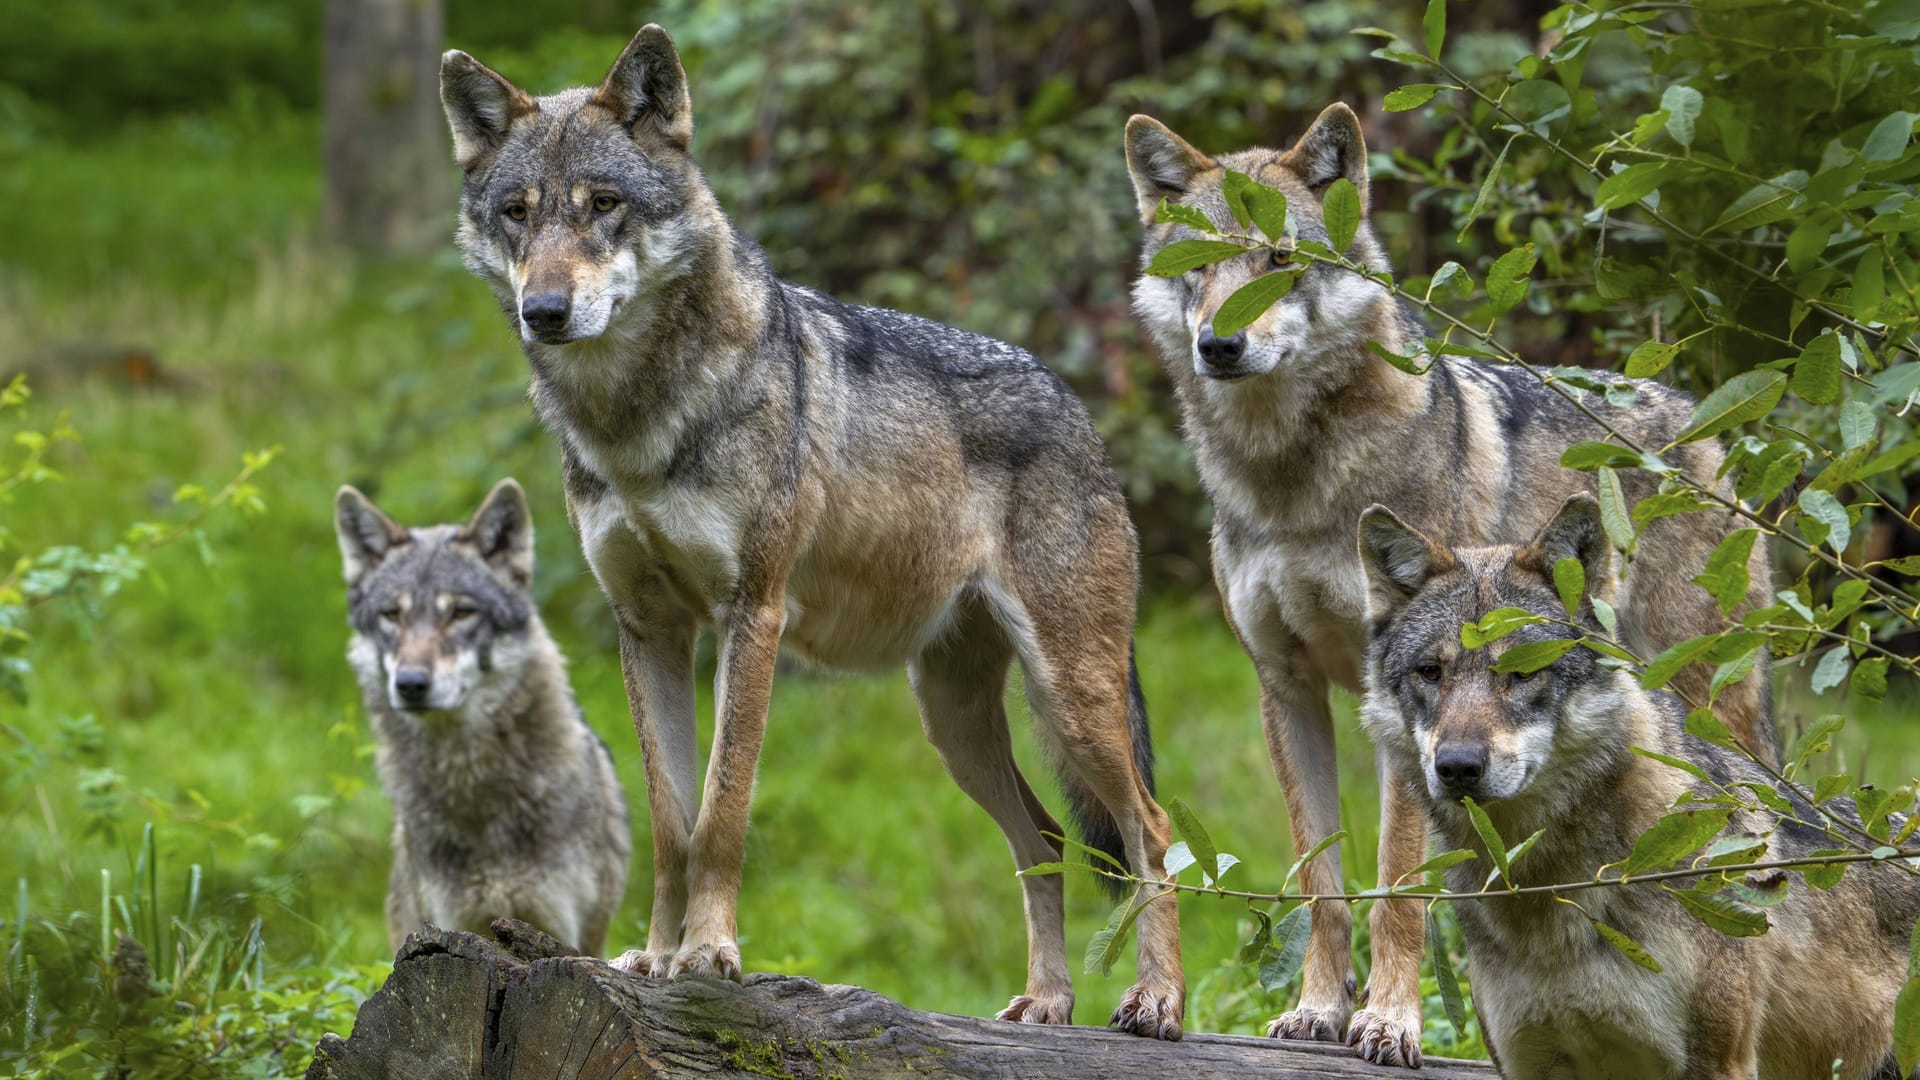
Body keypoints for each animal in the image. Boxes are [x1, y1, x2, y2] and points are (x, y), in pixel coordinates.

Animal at [437, 23, 1182, 1037]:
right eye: (517, 213)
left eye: (604, 206)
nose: (543, 312)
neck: (636, 420)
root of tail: (1075, 405)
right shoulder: (649, 630)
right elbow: (670, 824)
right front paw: (655, 957)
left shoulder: (751, 617)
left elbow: (721, 814)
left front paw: (709, 956)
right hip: (954, 721)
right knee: (1046, 838)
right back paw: (1047, 1003)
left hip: (1072, 698)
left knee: (1153, 832)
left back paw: (1157, 1001)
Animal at [1121, 102, 1774, 1060]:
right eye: (1197, 268)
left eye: (1280, 260)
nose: (1220, 343)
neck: (1289, 481)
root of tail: (1700, 418)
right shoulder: (1288, 686)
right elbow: (1322, 882)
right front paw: (1319, 1011)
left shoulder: (1397, 716)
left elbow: (1398, 885)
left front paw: (1389, 1022)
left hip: (1708, 698)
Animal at [1359, 495, 1912, 1076]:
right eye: (1430, 672)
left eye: (1522, 673)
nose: (1458, 766)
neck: (1549, 895)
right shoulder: (1523, 1060)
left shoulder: (1718, 1061)